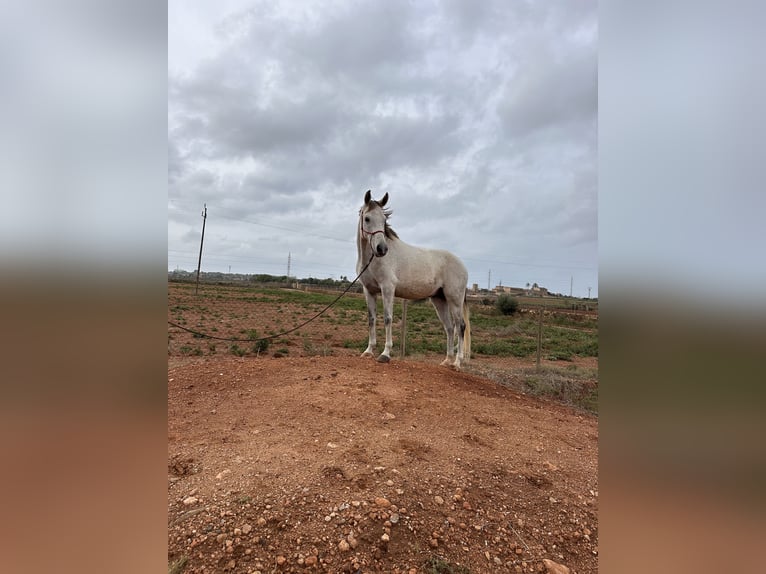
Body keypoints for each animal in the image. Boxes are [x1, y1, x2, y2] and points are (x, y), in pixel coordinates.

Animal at [356, 191, 472, 372]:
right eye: (367, 218)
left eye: (384, 220)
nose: (382, 249)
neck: (372, 260)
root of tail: (462, 265)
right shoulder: (369, 291)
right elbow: (371, 319)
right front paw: (368, 351)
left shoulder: (387, 289)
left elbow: (387, 318)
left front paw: (385, 354)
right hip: (439, 300)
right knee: (449, 328)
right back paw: (447, 360)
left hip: (455, 300)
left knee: (460, 327)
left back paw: (457, 363)